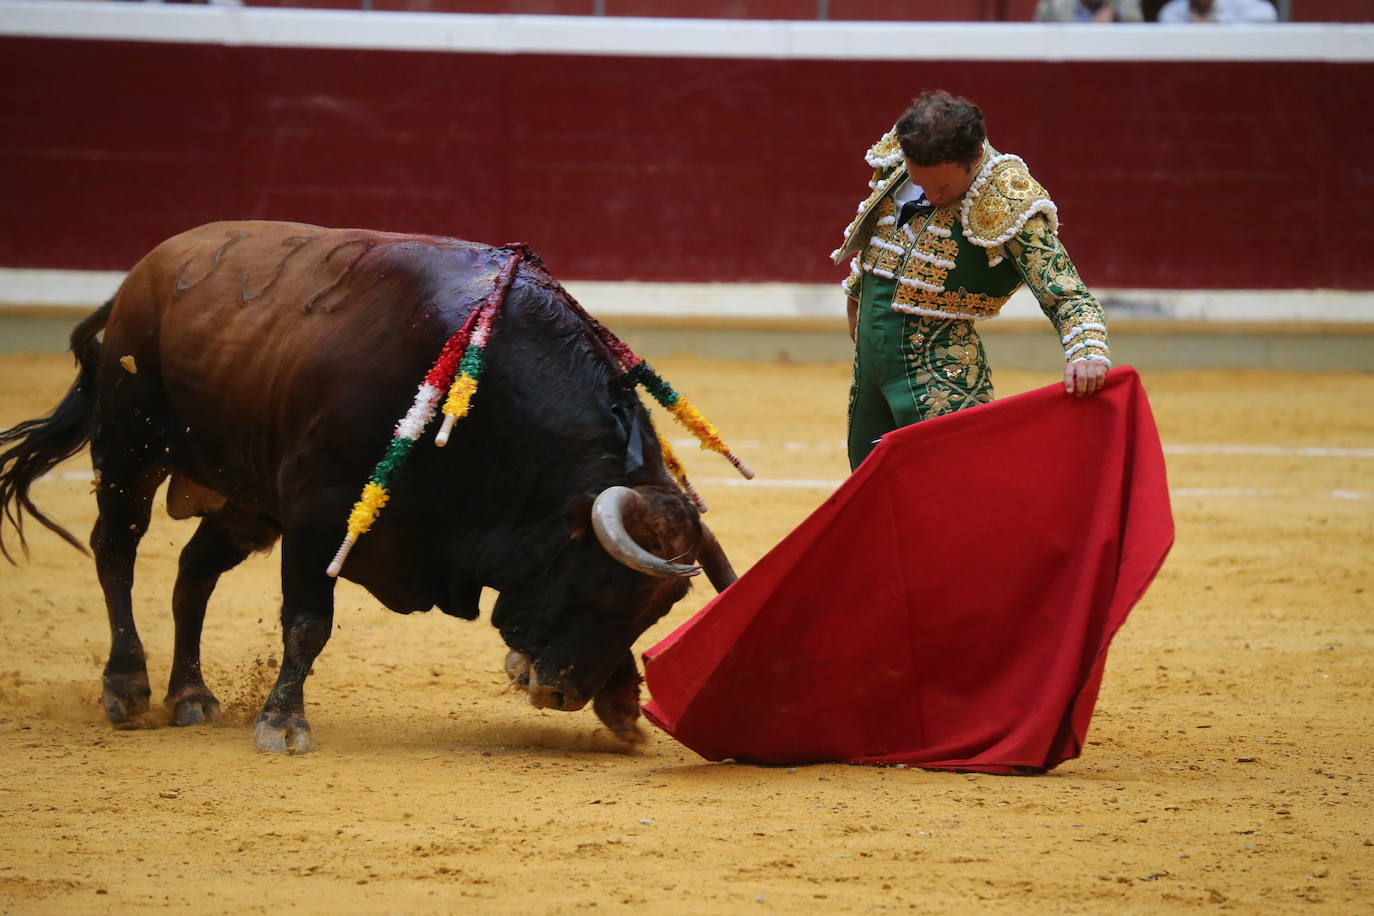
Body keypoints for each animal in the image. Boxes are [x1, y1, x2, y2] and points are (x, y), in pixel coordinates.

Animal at [0, 219, 741, 752]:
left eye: (659, 608)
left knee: (193, 575)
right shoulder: (317, 515)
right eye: (606, 579)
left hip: (244, 501)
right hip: (130, 448)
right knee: (117, 551)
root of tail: (141, 275)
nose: (562, 694)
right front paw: (283, 723)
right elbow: (307, 623)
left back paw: (190, 696)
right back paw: (126, 687)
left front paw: (624, 709)